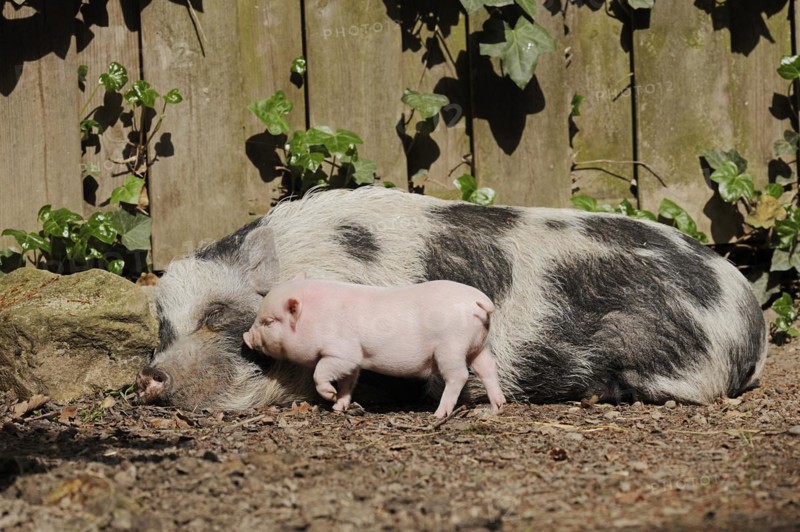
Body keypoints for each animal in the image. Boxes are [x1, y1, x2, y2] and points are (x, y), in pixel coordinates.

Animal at [243, 276, 506, 417]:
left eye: (269, 321)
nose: (246, 337)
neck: (316, 318)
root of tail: (478, 300)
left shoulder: (343, 353)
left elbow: (320, 371)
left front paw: (329, 396)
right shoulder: (355, 361)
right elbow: (349, 381)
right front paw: (339, 406)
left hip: (451, 347)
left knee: (459, 375)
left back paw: (439, 413)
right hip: (478, 345)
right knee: (488, 369)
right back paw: (498, 406)